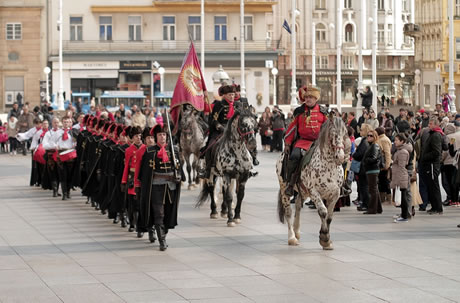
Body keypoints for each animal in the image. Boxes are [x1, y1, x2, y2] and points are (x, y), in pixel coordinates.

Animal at [274, 115, 346, 251]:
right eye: (333, 134)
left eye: (345, 133)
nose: (340, 157)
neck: (329, 164)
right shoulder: (314, 192)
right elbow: (323, 212)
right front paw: (324, 239)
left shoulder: (335, 194)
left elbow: (329, 217)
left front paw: (327, 241)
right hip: (285, 188)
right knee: (288, 211)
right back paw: (292, 237)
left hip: (303, 190)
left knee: (298, 205)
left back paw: (297, 231)